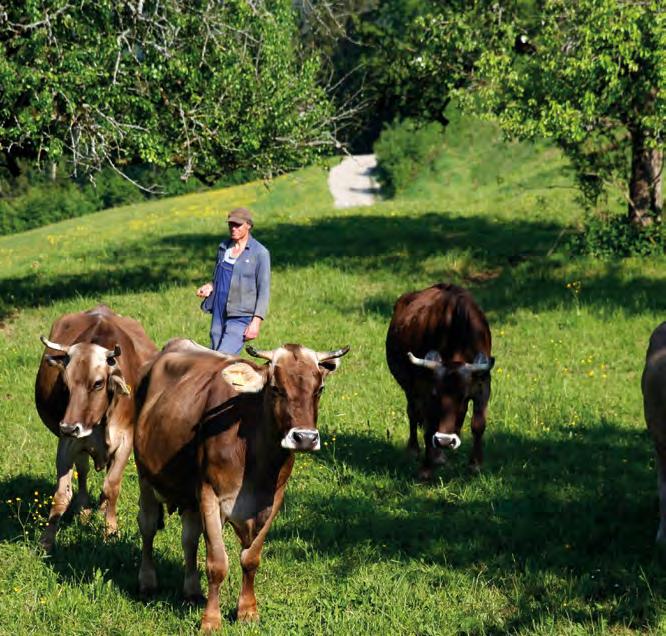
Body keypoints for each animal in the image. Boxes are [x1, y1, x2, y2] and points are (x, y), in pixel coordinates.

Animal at [35, 306, 157, 548]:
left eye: (98, 383)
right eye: (65, 383)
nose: (69, 427)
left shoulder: (125, 441)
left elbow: (111, 488)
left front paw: (110, 531)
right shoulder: (68, 443)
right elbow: (61, 494)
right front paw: (47, 539)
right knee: (82, 472)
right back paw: (83, 509)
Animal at [131, 338, 348, 632]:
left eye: (320, 389)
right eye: (276, 388)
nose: (304, 438)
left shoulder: (274, 499)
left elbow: (250, 558)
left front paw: (247, 610)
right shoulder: (210, 495)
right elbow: (217, 563)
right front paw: (211, 620)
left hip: (189, 493)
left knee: (189, 538)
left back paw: (192, 590)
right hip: (145, 475)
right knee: (148, 526)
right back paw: (147, 581)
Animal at [384, 280, 492, 480]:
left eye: (464, 398)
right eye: (435, 395)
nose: (444, 441)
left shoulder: (483, 385)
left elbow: (478, 424)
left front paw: (475, 464)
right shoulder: (424, 390)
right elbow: (428, 428)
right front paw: (426, 469)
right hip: (410, 389)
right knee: (413, 413)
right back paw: (417, 451)